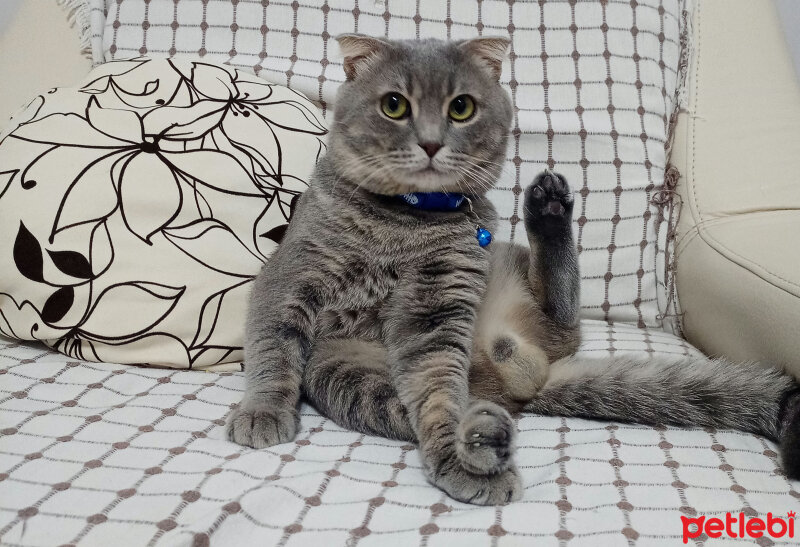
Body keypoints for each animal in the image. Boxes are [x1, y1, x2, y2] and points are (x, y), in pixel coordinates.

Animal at [227, 34, 800, 506]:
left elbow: (435, 389)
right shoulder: (289, 280)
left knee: (551, 317)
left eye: (461, 108)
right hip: (342, 370)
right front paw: (262, 412)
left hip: (509, 270)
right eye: (394, 105)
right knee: (410, 407)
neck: (404, 220)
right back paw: (483, 437)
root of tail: (525, 377)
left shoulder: (437, 300)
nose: (431, 142)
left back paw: (547, 213)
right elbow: (273, 353)